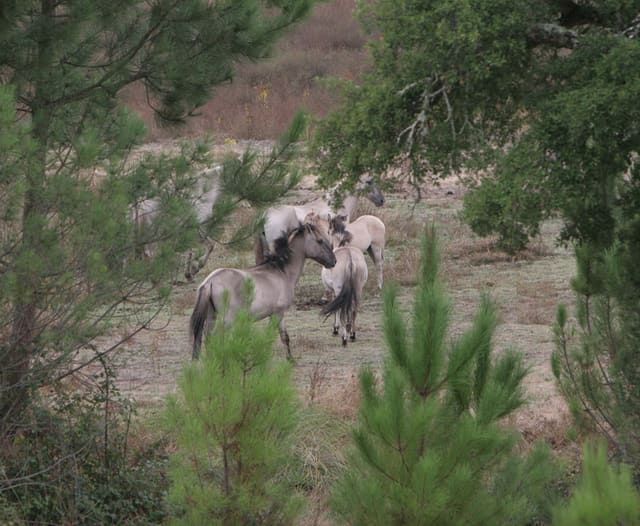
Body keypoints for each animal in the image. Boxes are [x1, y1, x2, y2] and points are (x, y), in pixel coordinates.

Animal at [190, 214, 337, 361]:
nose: (333, 261)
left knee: (208, 337)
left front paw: (290, 360)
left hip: (211, 315)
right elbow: (271, 337)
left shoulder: (278, 314)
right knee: (217, 336)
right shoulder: (278, 313)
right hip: (227, 318)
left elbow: (284, 337)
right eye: (320, 241)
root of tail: (209, 281)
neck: (282, 272)